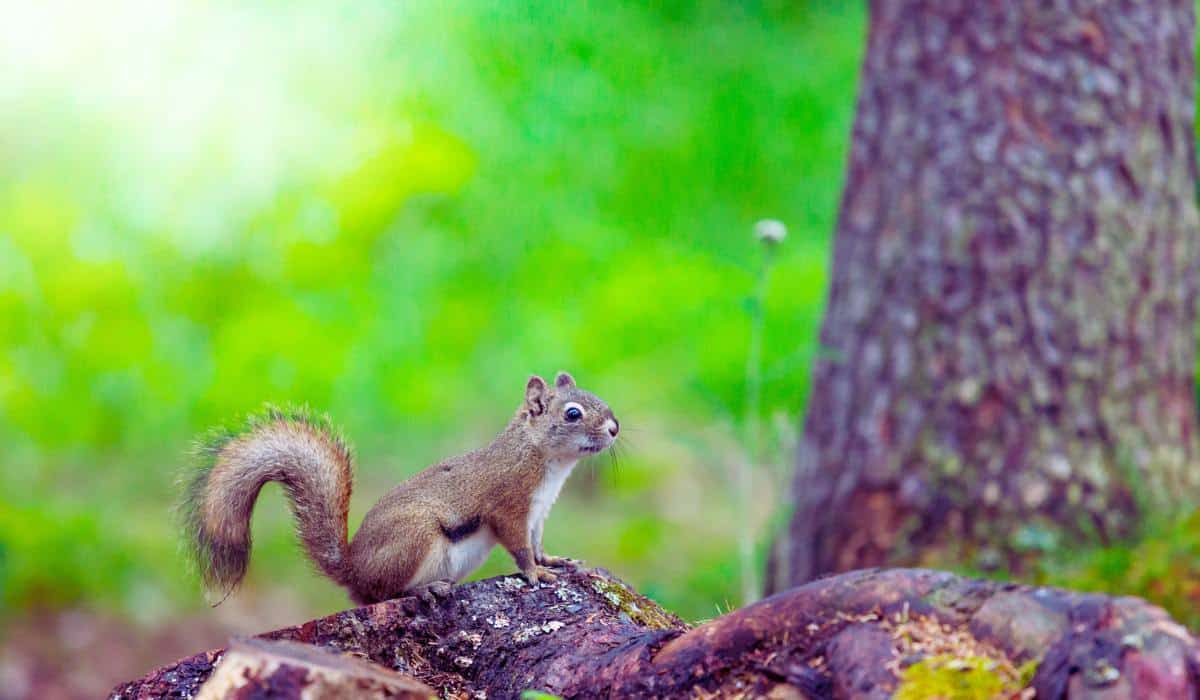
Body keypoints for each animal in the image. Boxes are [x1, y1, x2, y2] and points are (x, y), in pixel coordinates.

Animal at [184, 372, 628, 607]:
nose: (614, 428)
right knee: (384, 594)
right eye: (573, 414)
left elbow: (536, 543)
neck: (542, 459)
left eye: (596, 397)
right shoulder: (509, 505)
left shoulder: (537, 514)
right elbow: (519, 547)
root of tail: (353, 570)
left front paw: (553, 561)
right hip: (415, 536)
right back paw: (425, 588)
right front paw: (536, 574)